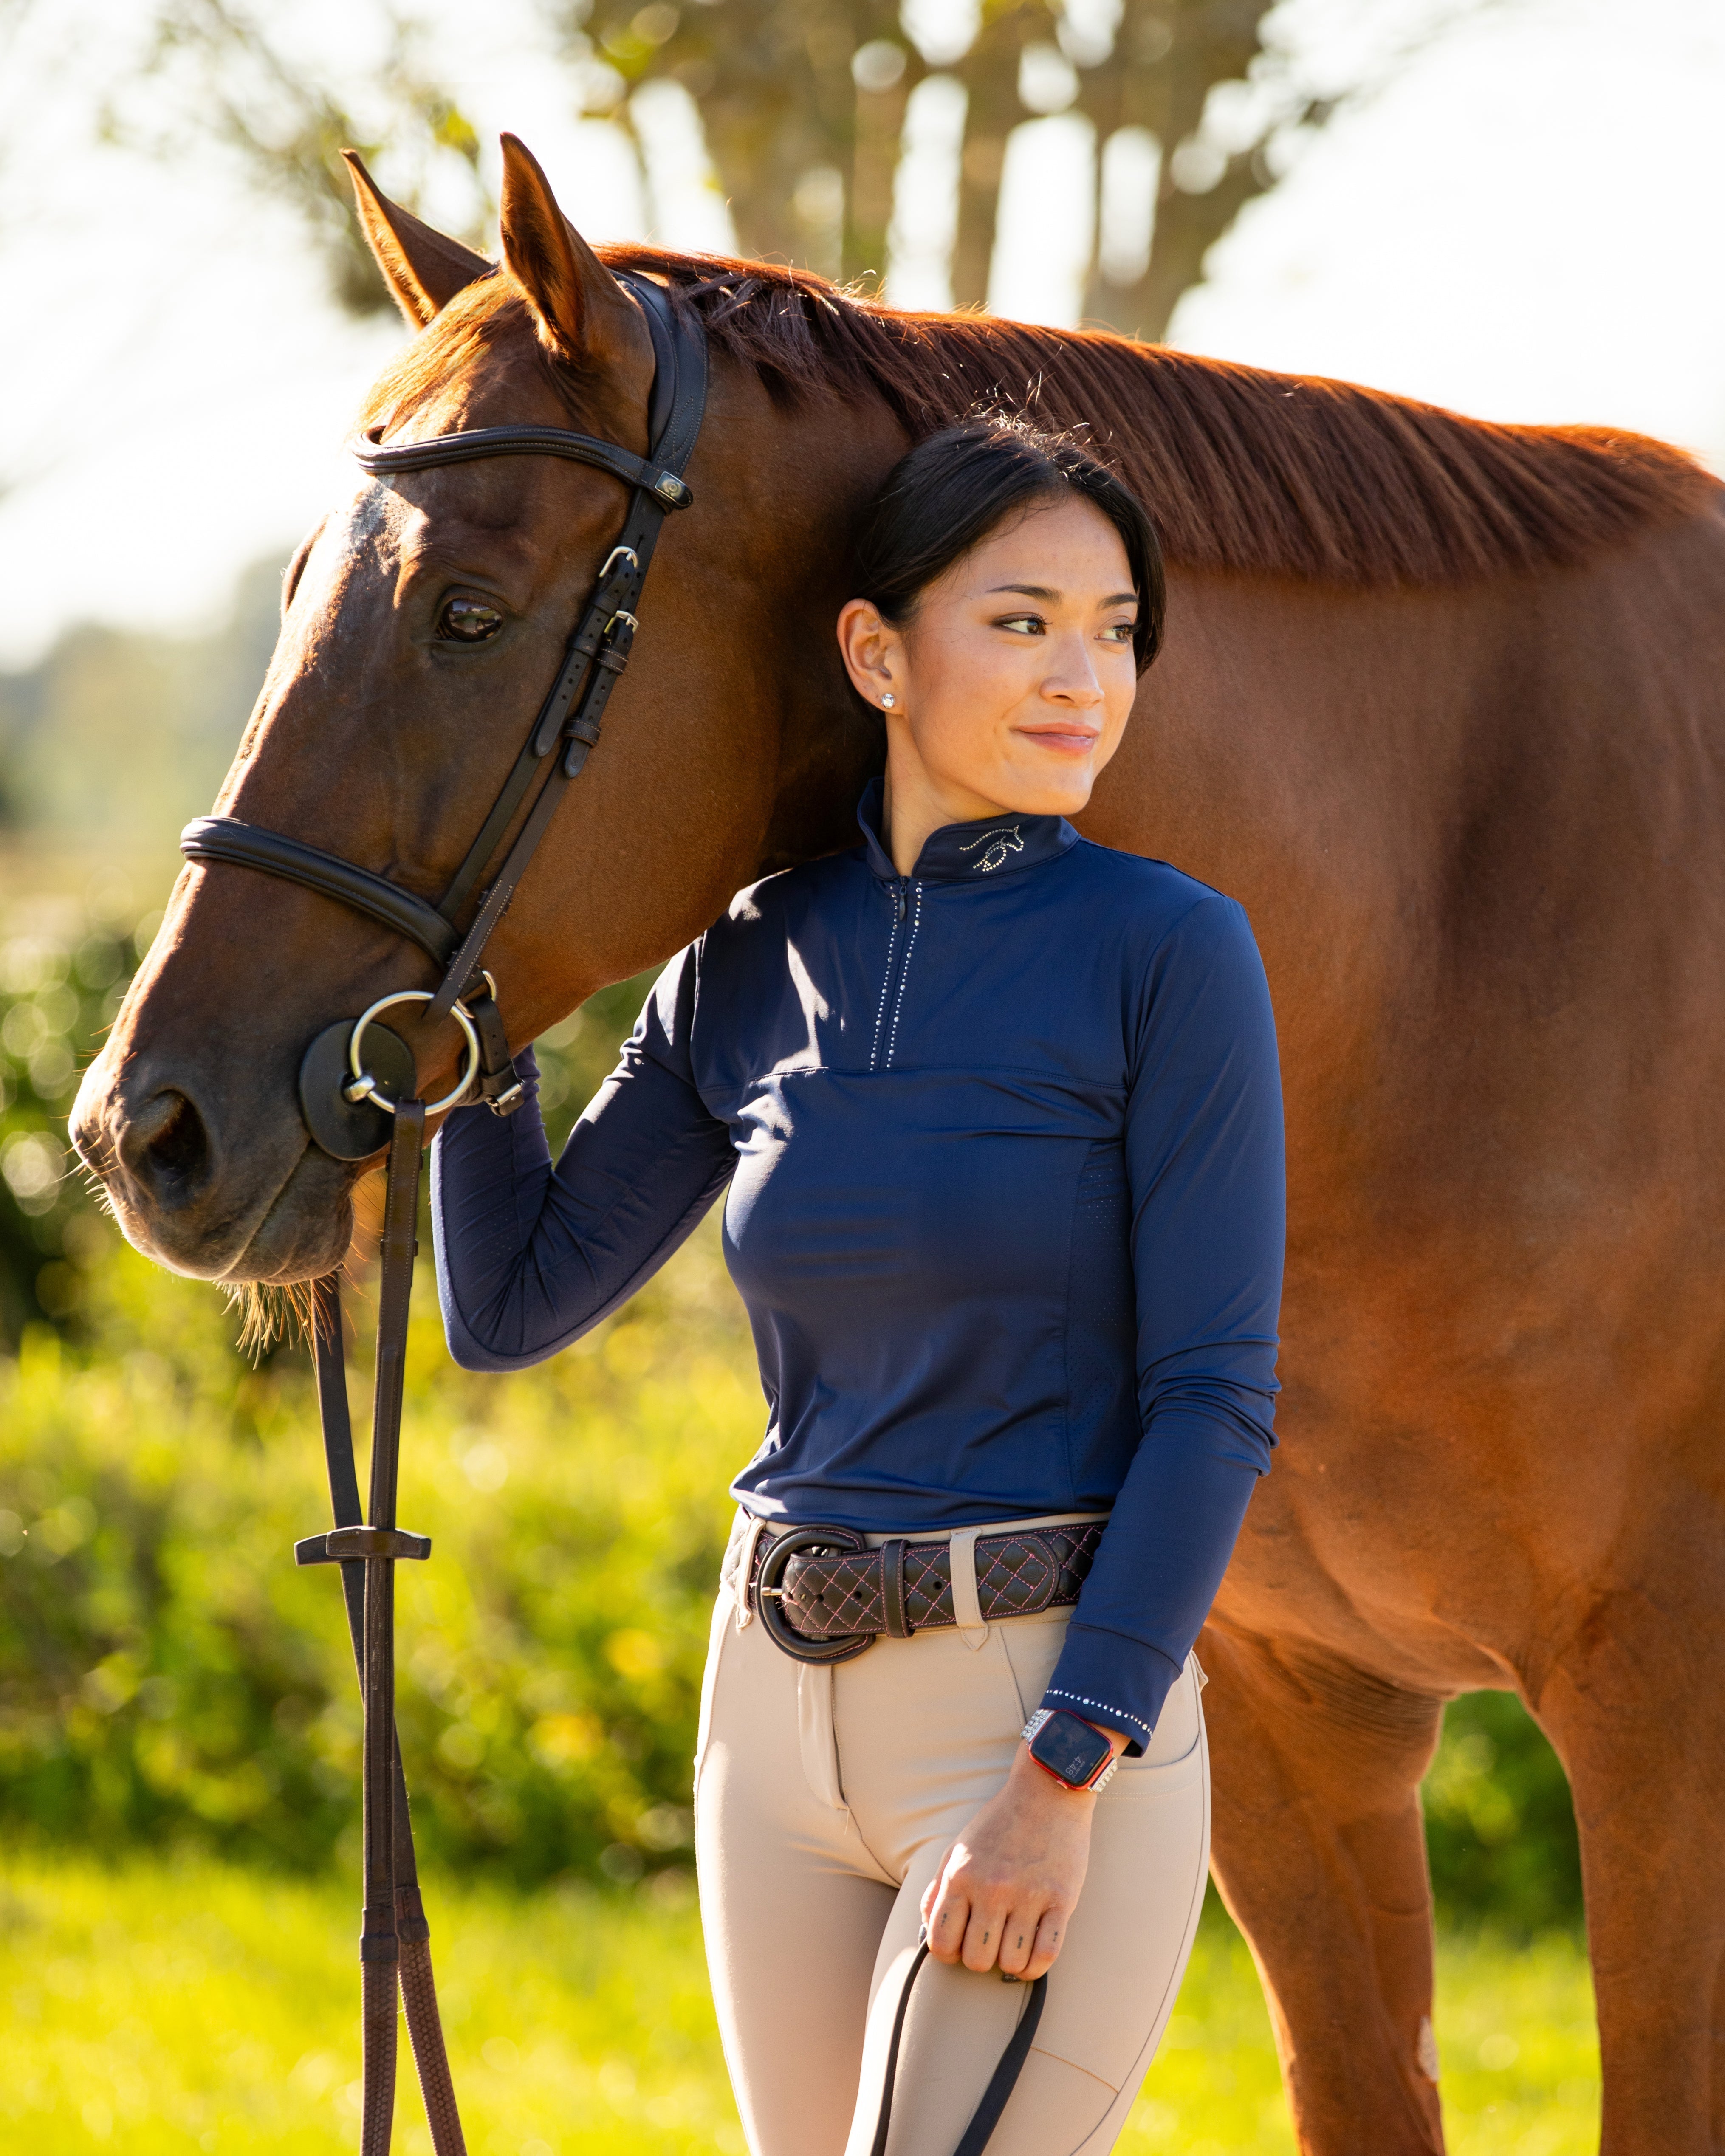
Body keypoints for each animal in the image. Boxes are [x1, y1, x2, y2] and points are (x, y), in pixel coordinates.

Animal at [74, 139, 1725, 2156]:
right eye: (304, 581)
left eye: (465, 609)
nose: (146, 1127)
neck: (1460, 945)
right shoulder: (1292, 1727)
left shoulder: (1666, 1728)